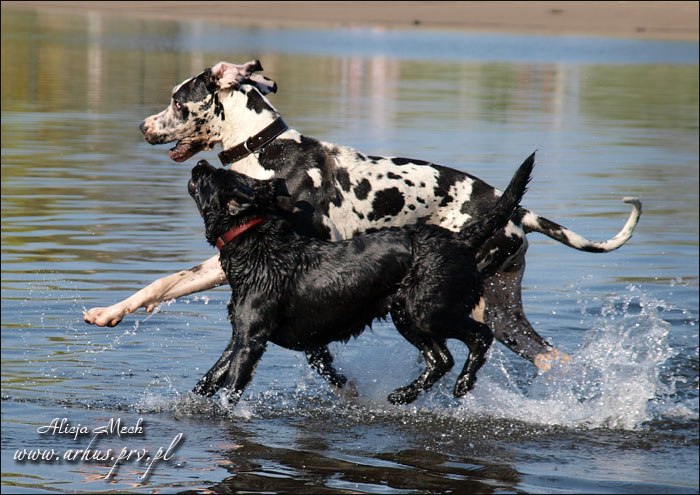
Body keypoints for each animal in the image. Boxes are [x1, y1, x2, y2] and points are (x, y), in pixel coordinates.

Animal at [85, 60, 641, 378]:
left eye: (178, 100)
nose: (142, 125)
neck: (266, 153)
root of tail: (517, 212)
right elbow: (162, 283)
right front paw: (110, 312)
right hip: (504, 314)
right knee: (552, 358)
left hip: (454, 308)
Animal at [187, 153, 533, 404]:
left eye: (211, 177)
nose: (201, 162)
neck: (256, 244)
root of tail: (462, 239)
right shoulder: (240, 336)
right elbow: (209, 378)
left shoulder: (251, 340)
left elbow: (231, 386)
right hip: (406, 314)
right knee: (441, 359)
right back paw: (404, 394)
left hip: (429, 310)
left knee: (480, 337)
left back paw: (463, 384)